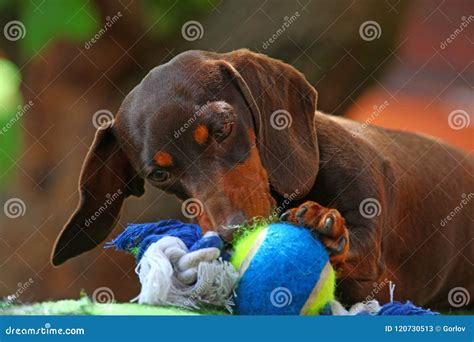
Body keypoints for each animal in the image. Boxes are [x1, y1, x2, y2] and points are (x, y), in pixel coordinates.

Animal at [50, 48, 472, 310]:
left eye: (222, 129)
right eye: (158, 173)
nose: (233, 232)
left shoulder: (373, 259)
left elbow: (356, 250)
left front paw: (322, 223)